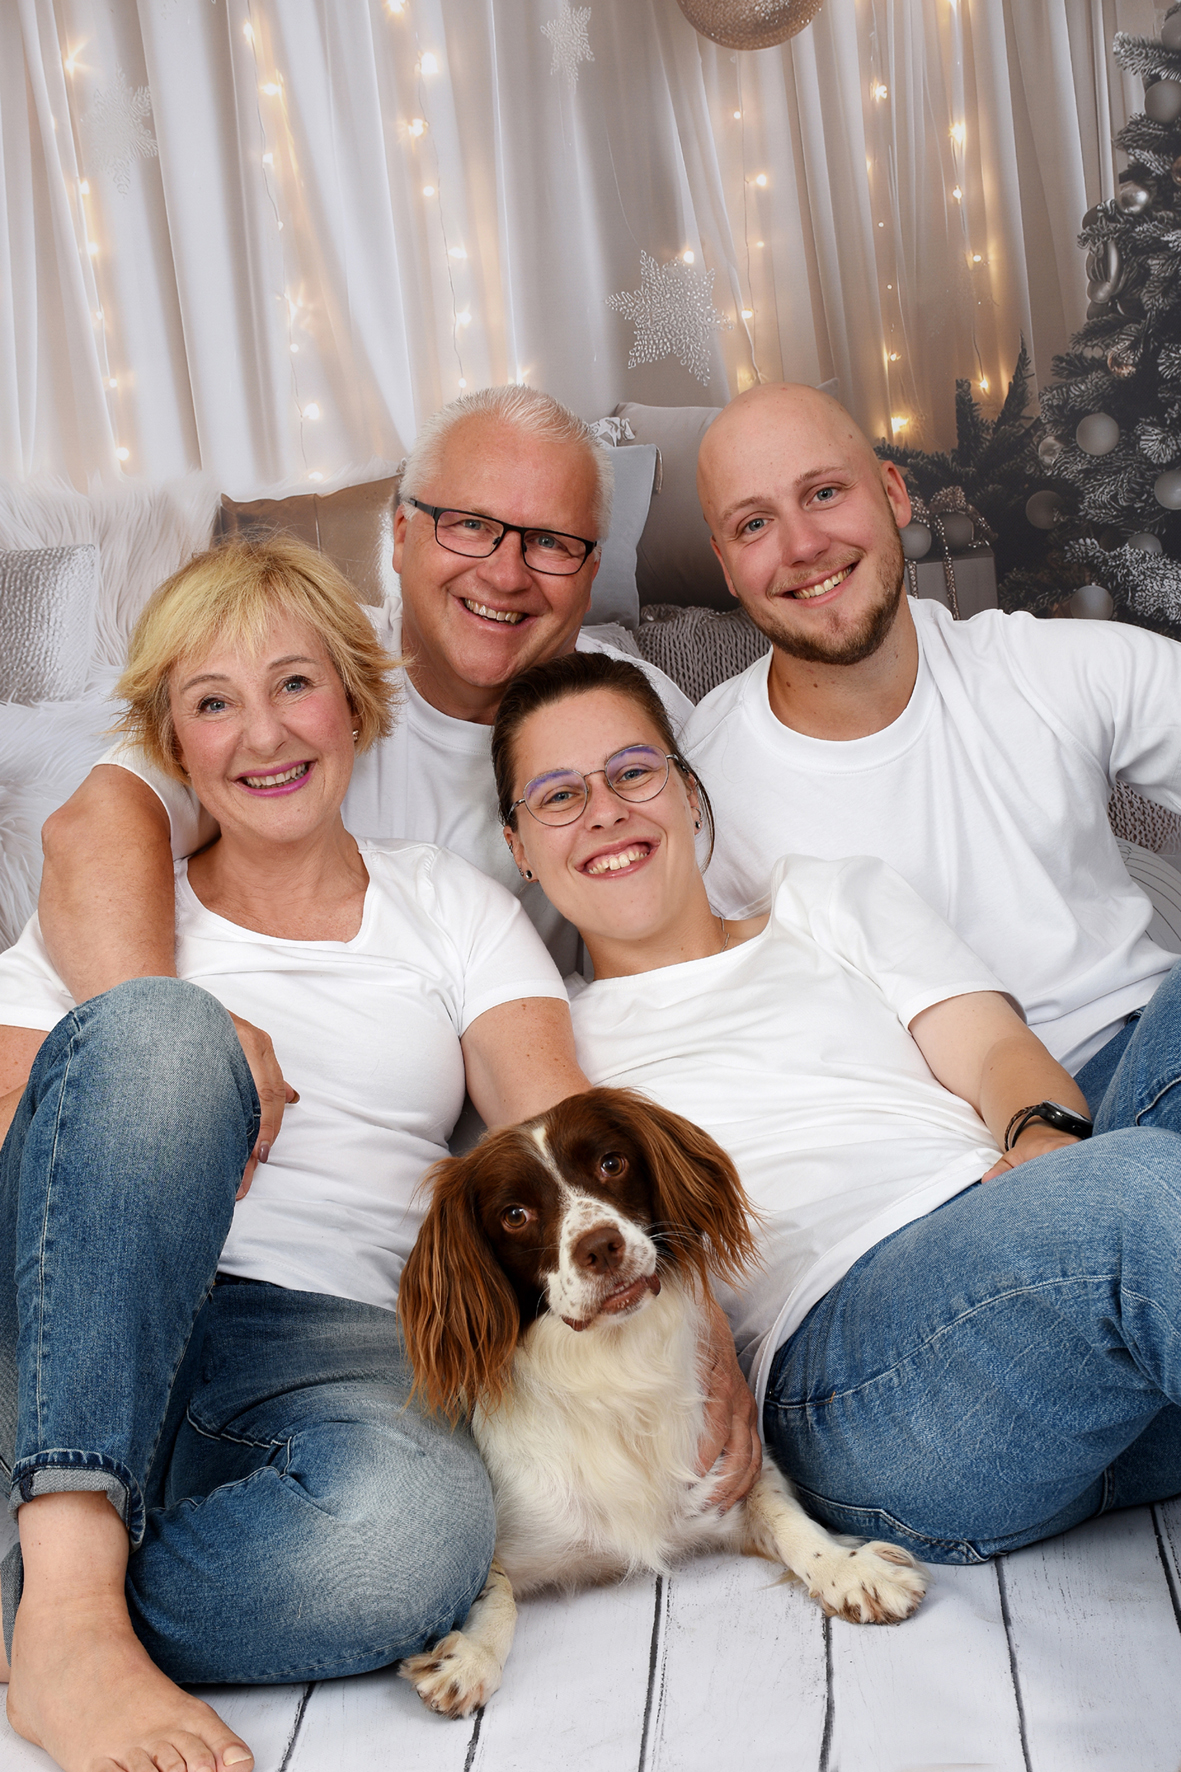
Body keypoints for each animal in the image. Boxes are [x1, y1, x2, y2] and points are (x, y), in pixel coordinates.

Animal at [397, 1087, 926, 1719]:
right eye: (515, 1215)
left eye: (612, 1163)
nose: (601, 1246)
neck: (614, 1372)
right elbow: (490, 1587)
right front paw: (472, 1654)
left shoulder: (725, 1471)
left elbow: (786, 1515)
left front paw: (850, 1571)